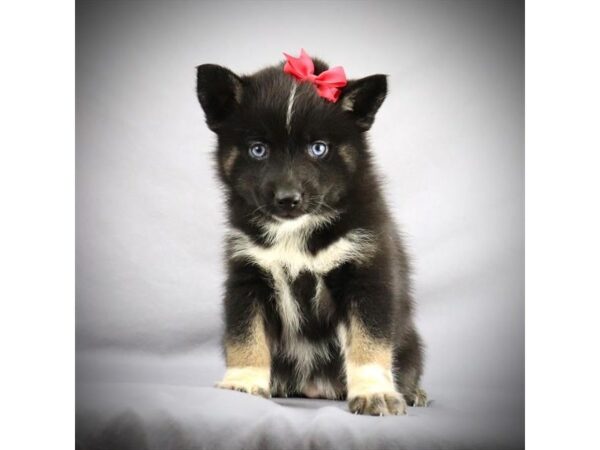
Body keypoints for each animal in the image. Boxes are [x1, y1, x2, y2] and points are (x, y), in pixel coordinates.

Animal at [195, 50, 424, 414]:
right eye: (258, 149)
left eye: (318, 148)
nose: (288, 199)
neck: (296, 231)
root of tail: (315, 388)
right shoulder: (248, 275)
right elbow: (245, 335)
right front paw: (243, 383)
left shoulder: (366, 274)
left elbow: (369, 341)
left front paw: (374, 392)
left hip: (411, 343)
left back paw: (414, 392)